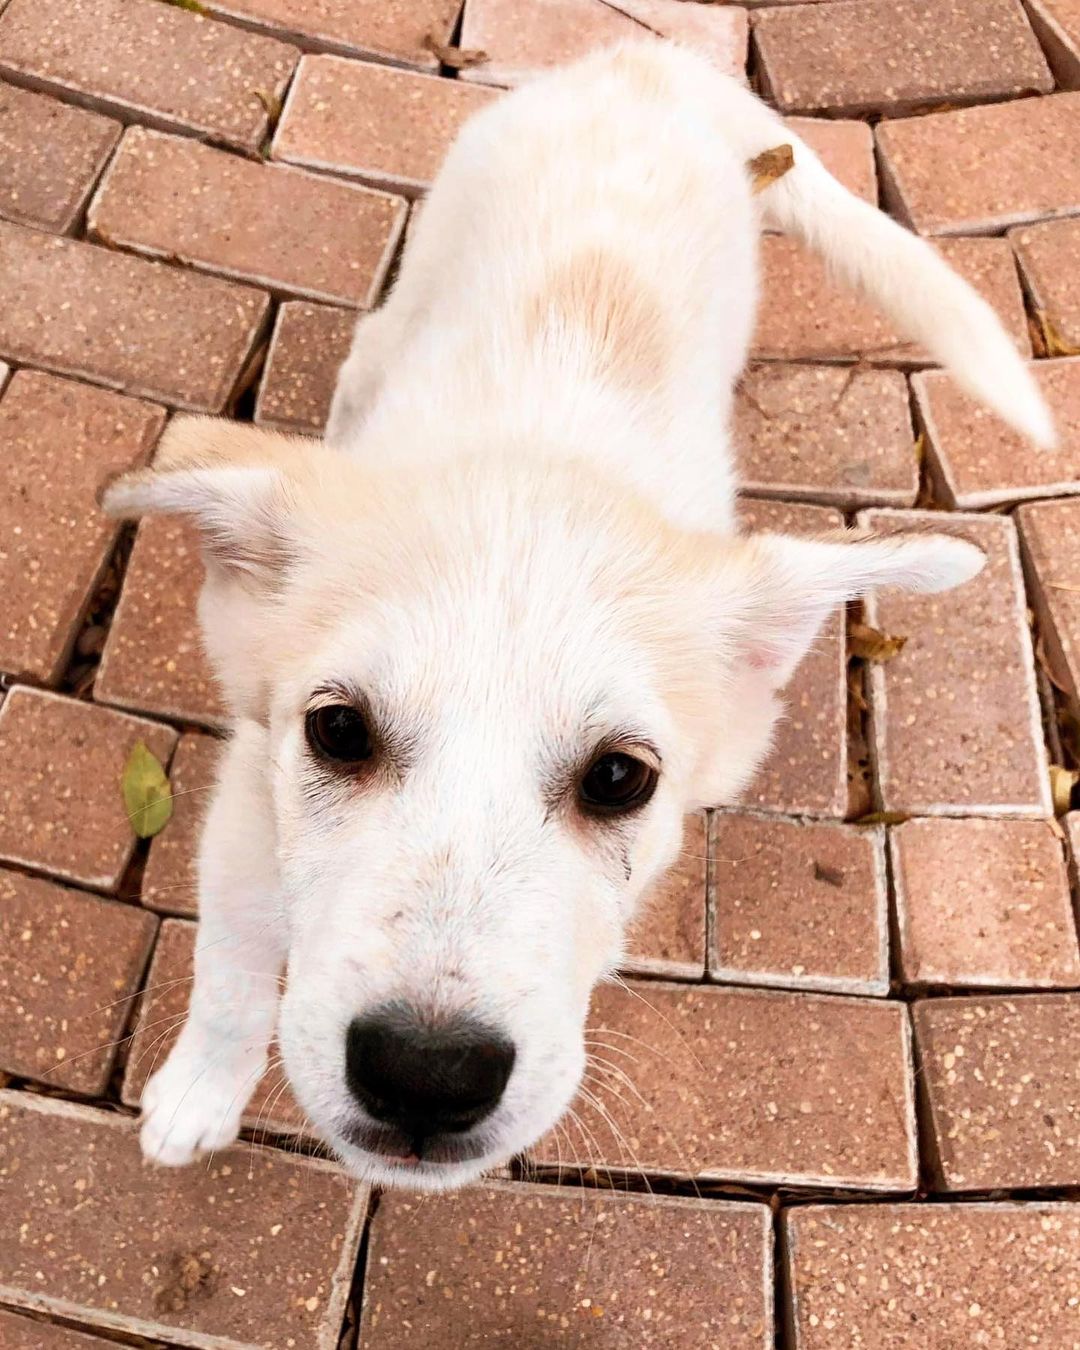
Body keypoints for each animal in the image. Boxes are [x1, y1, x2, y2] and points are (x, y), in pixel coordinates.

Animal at [105, 39, 1053, 1193]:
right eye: (338, 731)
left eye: (617, 780)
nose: (425, 1077)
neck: (546, 459)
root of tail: (654, 58)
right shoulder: (246, 809)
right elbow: (233, 972)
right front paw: (198, 1095)